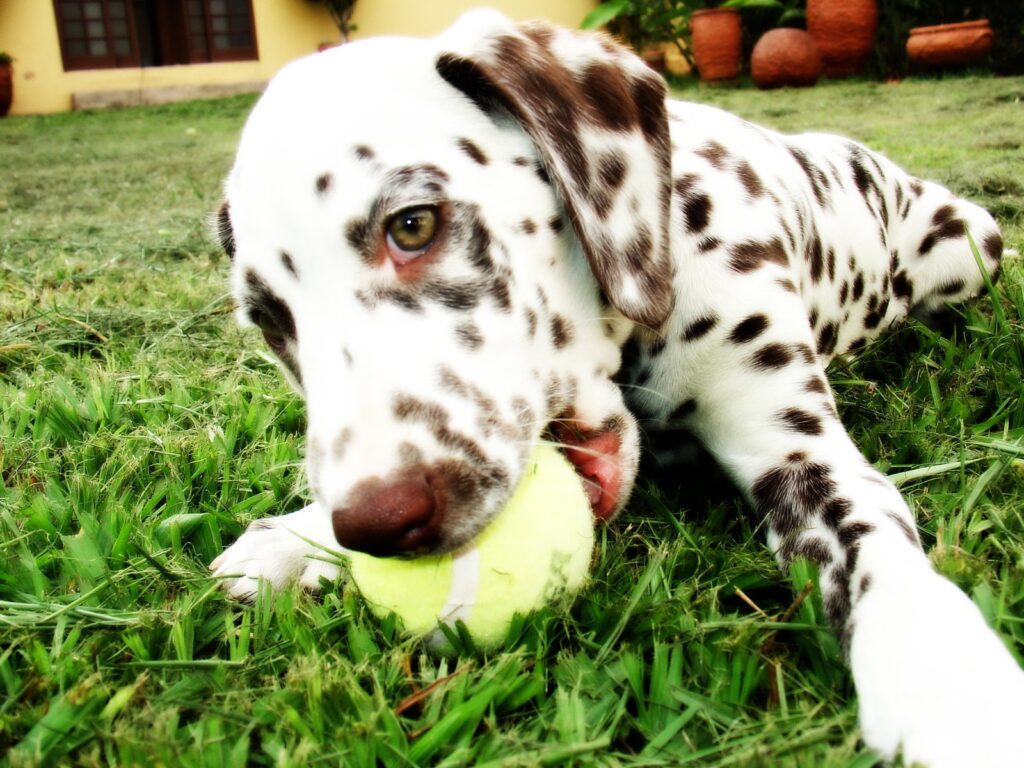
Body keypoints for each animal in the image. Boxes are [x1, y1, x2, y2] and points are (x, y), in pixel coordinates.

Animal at [209, 9, 1024, 765]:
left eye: (413, 225)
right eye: (271, 323)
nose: (375, 523)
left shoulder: (800, 454)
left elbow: (874, 539)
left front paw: (946, 684)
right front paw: (297, 537)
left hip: (969, 247)